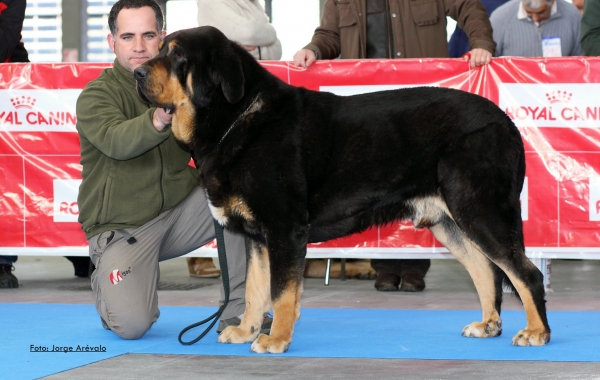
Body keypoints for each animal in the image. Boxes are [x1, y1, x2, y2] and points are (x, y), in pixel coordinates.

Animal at [134, 26, 552, 354]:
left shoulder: (284, 228)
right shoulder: (257, 237)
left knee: (525, 273)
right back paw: (488, 325)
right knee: (486, 271)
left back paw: (536, 332)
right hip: (449, 221)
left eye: (177, 56)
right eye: (160, 47)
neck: (236, 118)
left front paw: (276, 338)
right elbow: (255, 288)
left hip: (480, 209)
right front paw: (246, 330)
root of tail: (507, 122)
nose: (136, 71)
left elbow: (282, 292)